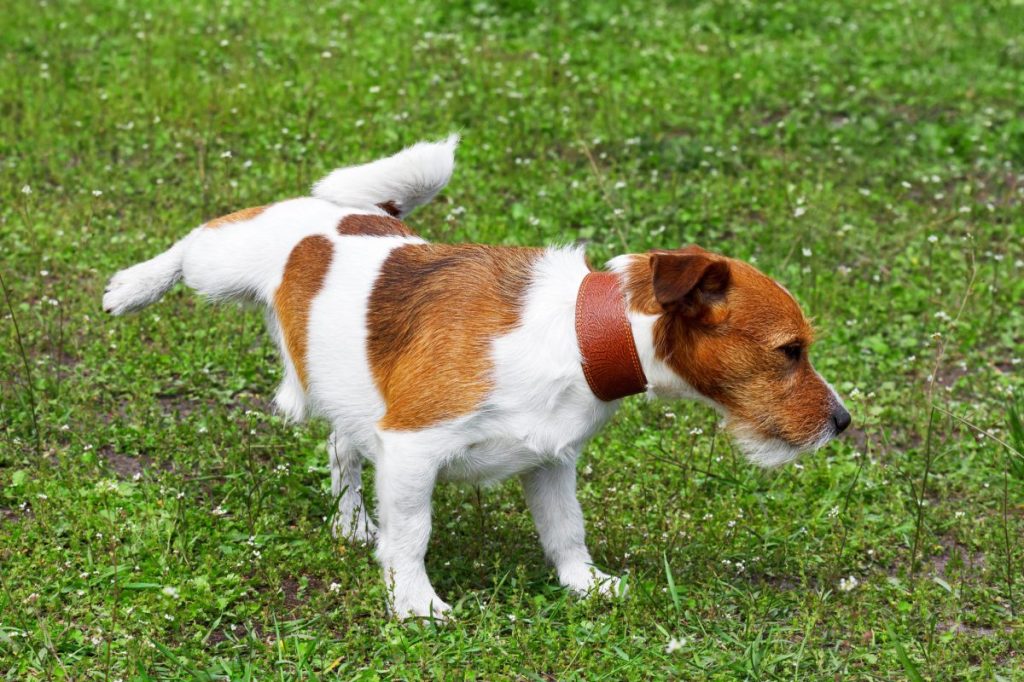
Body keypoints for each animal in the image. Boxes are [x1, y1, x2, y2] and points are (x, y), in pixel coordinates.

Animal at [108, 135, 851, 618]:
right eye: (790, 351)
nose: (844, 422)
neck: (577, 334)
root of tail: (353, 211)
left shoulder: (550, 464)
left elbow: (566, 532)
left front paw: (585, 585)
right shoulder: (412, 447)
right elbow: (413, 535)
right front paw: (416, 603)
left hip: (348, 389)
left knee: (342, 449)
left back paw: (352, 521)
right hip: (222, 263)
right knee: (194, 241)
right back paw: (132, 286)